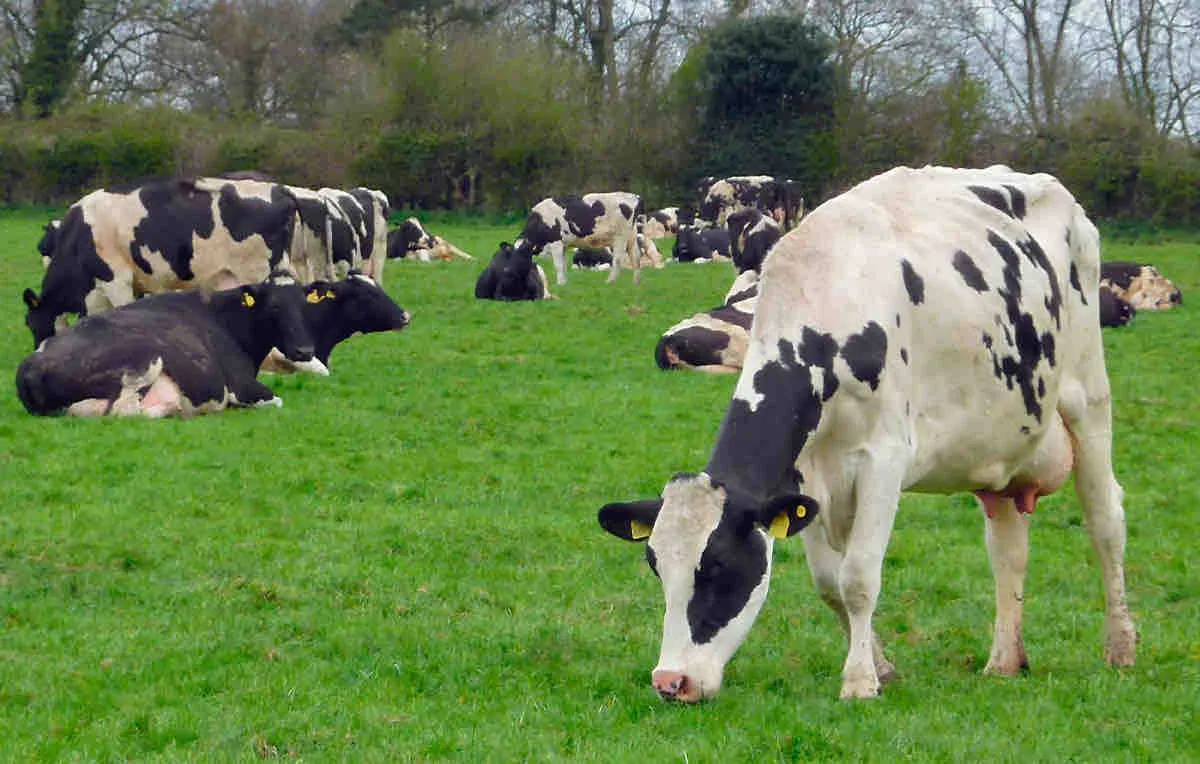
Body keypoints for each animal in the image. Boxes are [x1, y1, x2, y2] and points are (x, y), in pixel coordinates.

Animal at [16, 280, 328, 418]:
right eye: (274, 307)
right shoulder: (242, 386)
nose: (304, 350)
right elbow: (275, 400)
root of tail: (31, 364)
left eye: (305, 305)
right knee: (124, 410)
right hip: (145, 359)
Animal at [513, 192, 644, 286]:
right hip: (631, 237)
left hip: (620, 238)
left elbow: (558, 265)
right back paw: (636, 283)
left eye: (522, 256)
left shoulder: (556, 242)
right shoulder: (563, 245)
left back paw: (610, 282)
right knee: (636, 257)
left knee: (617, 259)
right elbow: (563, 265)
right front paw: (564, 283)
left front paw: (560, 283)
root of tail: (633, 196)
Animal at [598, 165, 1136, 702]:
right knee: (1007, 551)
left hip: (1087, 397)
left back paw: (1120, 646)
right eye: (656, 566)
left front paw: (859, 681)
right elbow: (828, 582)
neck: (826, 305)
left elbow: (857, 577)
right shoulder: (803, 475)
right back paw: (1004, 660)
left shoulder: (884, 458)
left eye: (721, 567)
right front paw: (881, 666)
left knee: (1105, 520)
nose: (671, 681)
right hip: (998, 446)